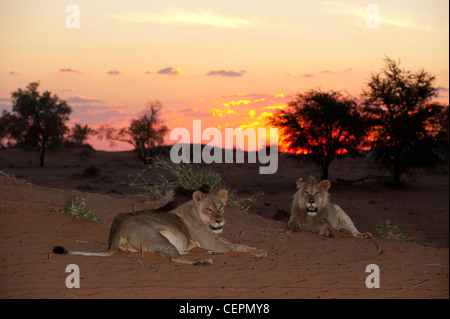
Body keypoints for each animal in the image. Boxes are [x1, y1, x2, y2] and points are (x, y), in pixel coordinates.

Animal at [55, 189, 268, 266]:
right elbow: (238, 246)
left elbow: (233, 242)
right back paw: (204, 261)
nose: (219, 221)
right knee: (174, 258)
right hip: (158, 237)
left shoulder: (215, 239)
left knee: (177, 254)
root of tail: (118, 231)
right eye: (208, 209)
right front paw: (260, 252)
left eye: (221, 207)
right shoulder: (212, 242)